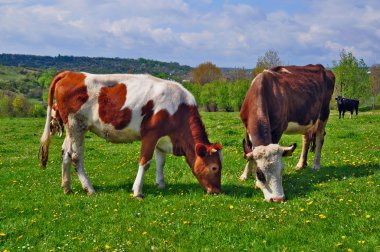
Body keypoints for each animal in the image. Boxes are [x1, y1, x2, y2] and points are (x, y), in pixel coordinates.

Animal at [38, 70, 223, 198]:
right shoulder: (150, 134)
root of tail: (70, 73)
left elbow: (160, 162)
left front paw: (161, 184)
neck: (177, 108)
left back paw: (67, 187)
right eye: (214, 167)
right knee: (76, 157)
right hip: (76, 124)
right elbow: (145, 162)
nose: (217, 191)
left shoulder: (162, 138)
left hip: (72, 129)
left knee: (66, 153)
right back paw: (89, 188)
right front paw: (137, 191)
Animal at [240, 64, 336, 203]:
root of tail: (322, 67)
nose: (277, 199)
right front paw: (245, 175)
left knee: (319, 138)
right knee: (306, 139)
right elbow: (248, 151)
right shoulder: (246, 127)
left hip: (324, 112)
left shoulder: (278, 128)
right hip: (307, 118)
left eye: (282, 170)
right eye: (259, 173)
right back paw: (301, 164)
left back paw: (316, 165)